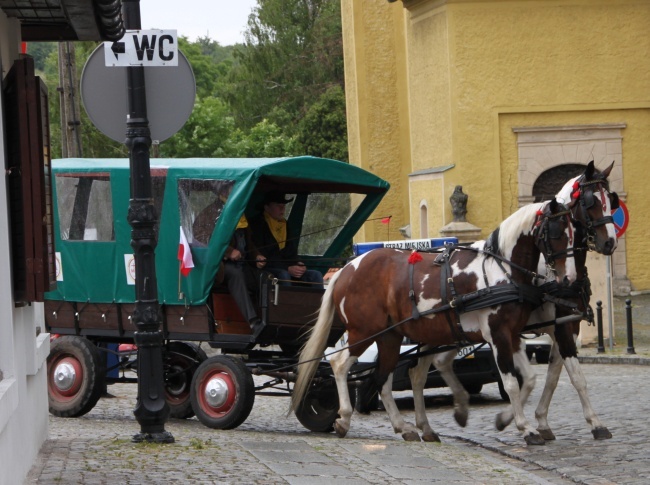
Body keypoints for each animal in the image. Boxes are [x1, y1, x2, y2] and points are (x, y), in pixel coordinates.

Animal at [292, 199, 576, 444]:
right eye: (557, 232)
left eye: (574, 231)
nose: (569, 278)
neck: (499, 269)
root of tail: (345, 270)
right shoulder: (497, 335)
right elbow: (512, 384)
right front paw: (525, 428)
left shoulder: (511, 335)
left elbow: (528, 378)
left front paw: (506, 419)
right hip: (363, 332)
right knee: (340, 365)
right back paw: (344, 419)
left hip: (389, 337)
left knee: (383, 378)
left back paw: (405, 427)